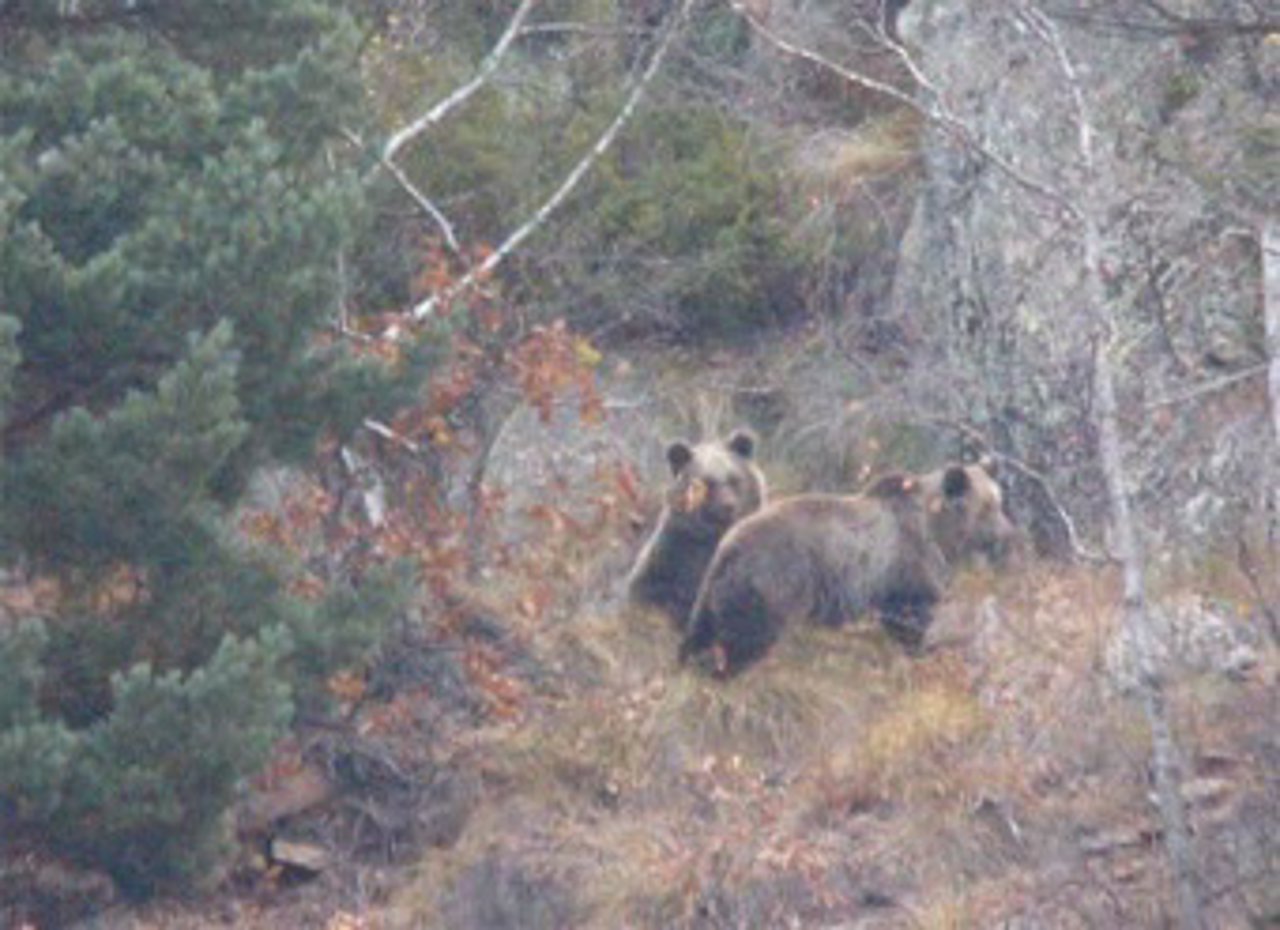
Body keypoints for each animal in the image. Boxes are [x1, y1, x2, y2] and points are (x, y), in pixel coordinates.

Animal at [680, 459, 1018, 676]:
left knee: (703, 630)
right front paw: (921, 650)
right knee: (747, 637)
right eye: (988, 507)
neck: (940, 532)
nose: (1007, 534)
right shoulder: (906, 562)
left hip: (717, 588)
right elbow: (910, 614)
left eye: (1000, 502)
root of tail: (729, 546)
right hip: (775, 582)